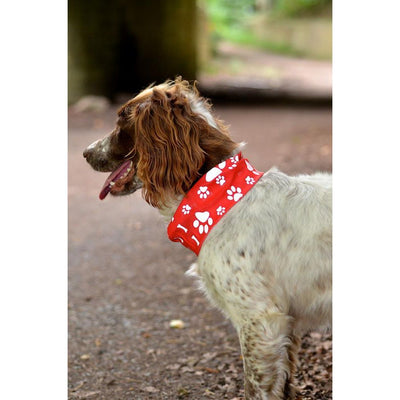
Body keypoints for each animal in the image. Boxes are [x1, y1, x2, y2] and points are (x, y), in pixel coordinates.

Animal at [82, 78, 332, 400]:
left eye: (122, 118)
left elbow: (255, 387)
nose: (85, 152)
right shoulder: (284, 323)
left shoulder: (260, 320)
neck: (219, 196)